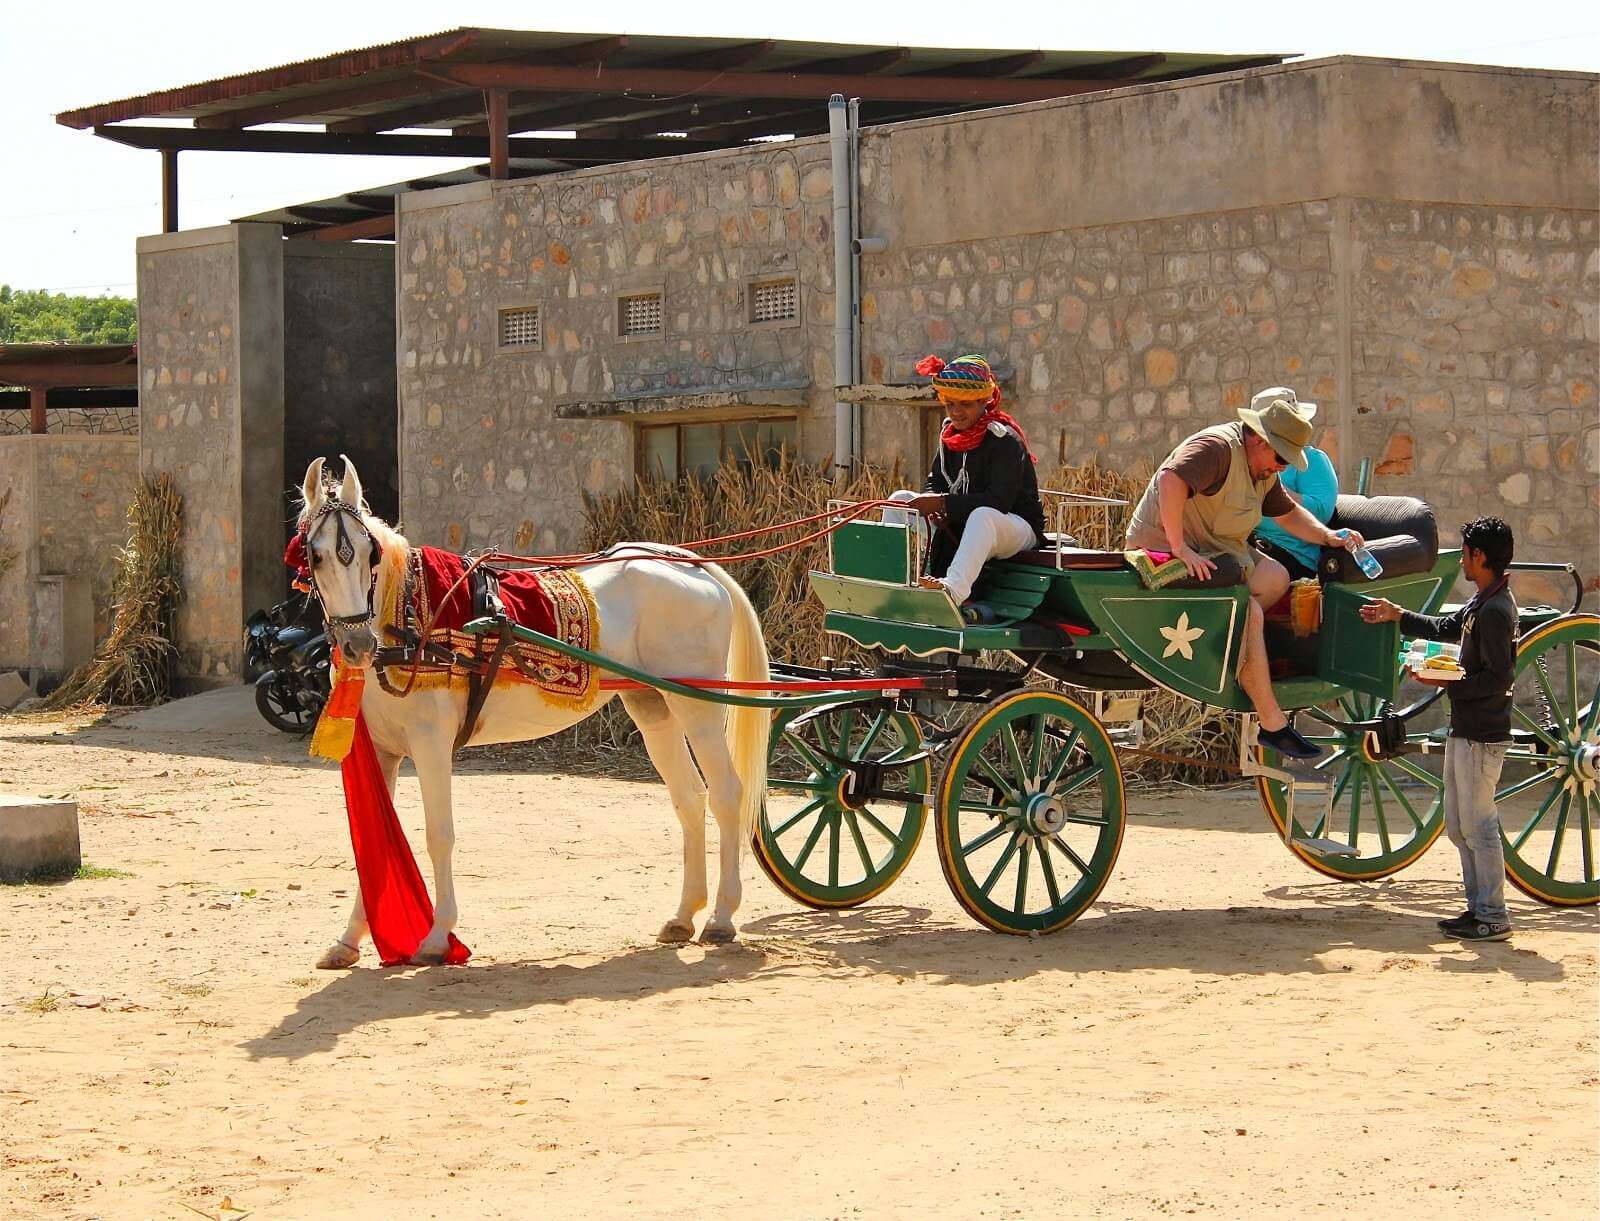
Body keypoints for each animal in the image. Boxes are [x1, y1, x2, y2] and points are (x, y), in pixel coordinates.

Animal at [300, 457, 774, 966]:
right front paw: (348, 940)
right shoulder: (381, 751)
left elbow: (439, 834)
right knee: (689, 798)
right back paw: (684, 915)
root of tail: (693, 565)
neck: (409, 621)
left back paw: (722, 917)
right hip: (652, 707)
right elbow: (374, 842)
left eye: (367, 554)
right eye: (316, 556)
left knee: (727, 794)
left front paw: (437, 936)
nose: (357, 644)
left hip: (697, 707)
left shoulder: (430, 745)